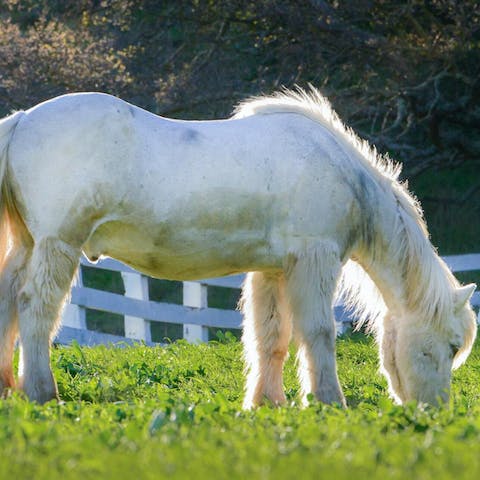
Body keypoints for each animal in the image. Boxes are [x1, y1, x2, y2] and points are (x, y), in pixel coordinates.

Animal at [0, 86, 474, 404]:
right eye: (452, 346)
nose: (435, 412)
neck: (341, 172)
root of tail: (23, 119)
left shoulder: (275, 269)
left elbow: (271, 337)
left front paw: (267, 404)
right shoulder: (314, 261)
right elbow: (318, 332)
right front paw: (328, 402)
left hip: (28, 245)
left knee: (9, 303)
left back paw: (9, 390)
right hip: (57, 246)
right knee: (35, 309)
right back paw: (42, 393)